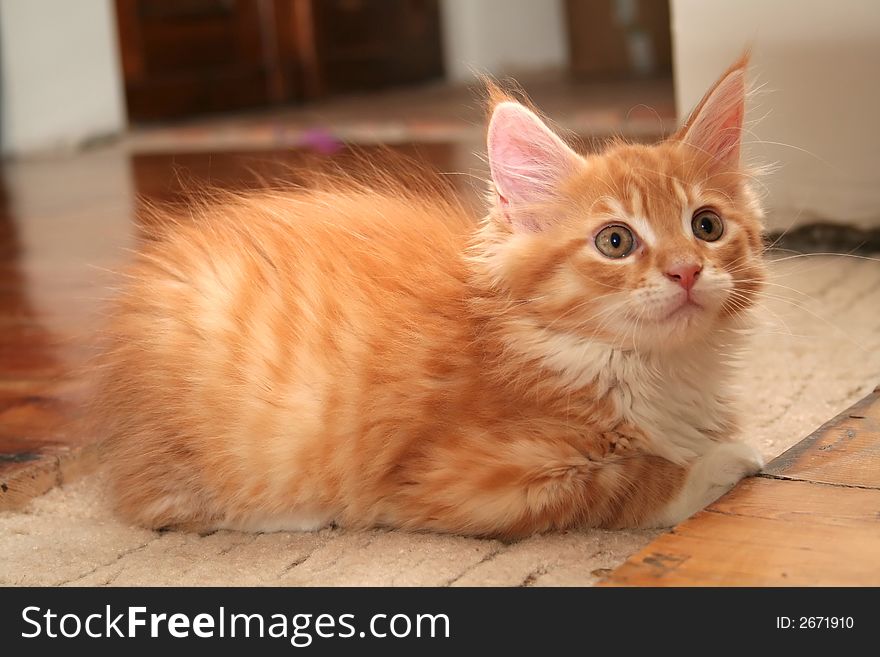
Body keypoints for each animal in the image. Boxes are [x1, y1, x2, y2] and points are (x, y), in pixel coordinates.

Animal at [94, 55, 764, 540]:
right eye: (616, 241)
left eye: (706, 227)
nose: (685, 272)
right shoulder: (462, 479)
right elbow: (624, 486)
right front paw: (722, 464)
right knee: (165, 506)